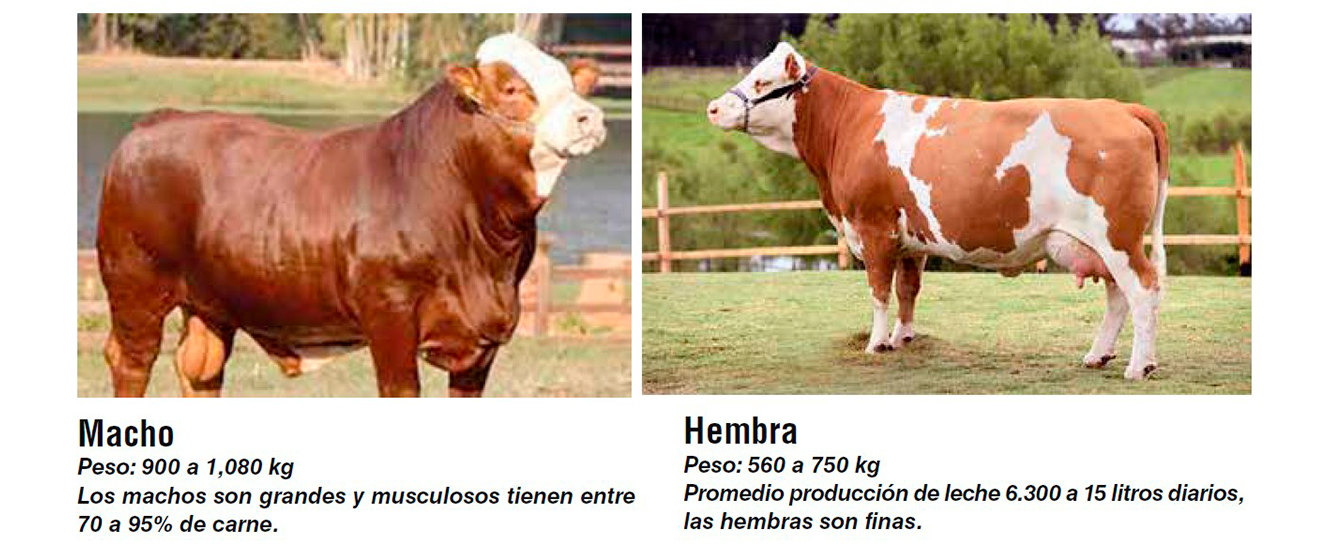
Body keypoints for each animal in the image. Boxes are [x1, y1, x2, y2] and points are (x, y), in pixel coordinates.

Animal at [96, 34, 606, 397]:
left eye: (570, 82)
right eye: (511, 88)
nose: (589, 117)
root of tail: (159, 119)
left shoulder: (480, 343)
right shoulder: (389, 312)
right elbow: (400, 390)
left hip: (210, 302)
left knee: (199, 369)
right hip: (135, 286)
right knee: (131, 361)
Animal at [707, 43, 1168, 380]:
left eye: (761, 79)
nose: (713, 108)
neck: (849, 126)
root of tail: (1121, 107)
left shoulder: (873, 228)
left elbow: (879, 291)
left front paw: (876, 344)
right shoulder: (911, 241)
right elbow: (907, 291)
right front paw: (902, 338)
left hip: (1118, 237)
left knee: (1143, 289)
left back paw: (1138, 366)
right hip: (1103, 244)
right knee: (1117, 296)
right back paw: (1098, 355)